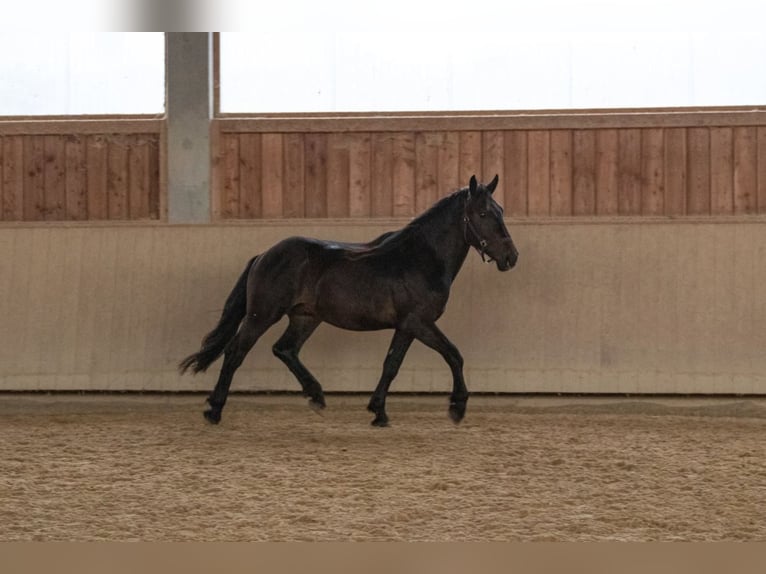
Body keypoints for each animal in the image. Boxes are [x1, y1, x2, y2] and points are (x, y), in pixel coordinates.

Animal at [177, 176, 520, 428]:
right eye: (484, 214)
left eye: (501, 211)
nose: (511, 257)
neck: (419, 258)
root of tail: (264, 255)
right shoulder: (419, 322)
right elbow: (453, 355)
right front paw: (457, 407)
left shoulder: (406, 326)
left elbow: (392, 364)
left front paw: (378, 412)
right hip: (262, 314)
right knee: (236, 352)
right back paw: (214, 410)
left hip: (306, 317)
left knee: (284, 349)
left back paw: (316, 396)